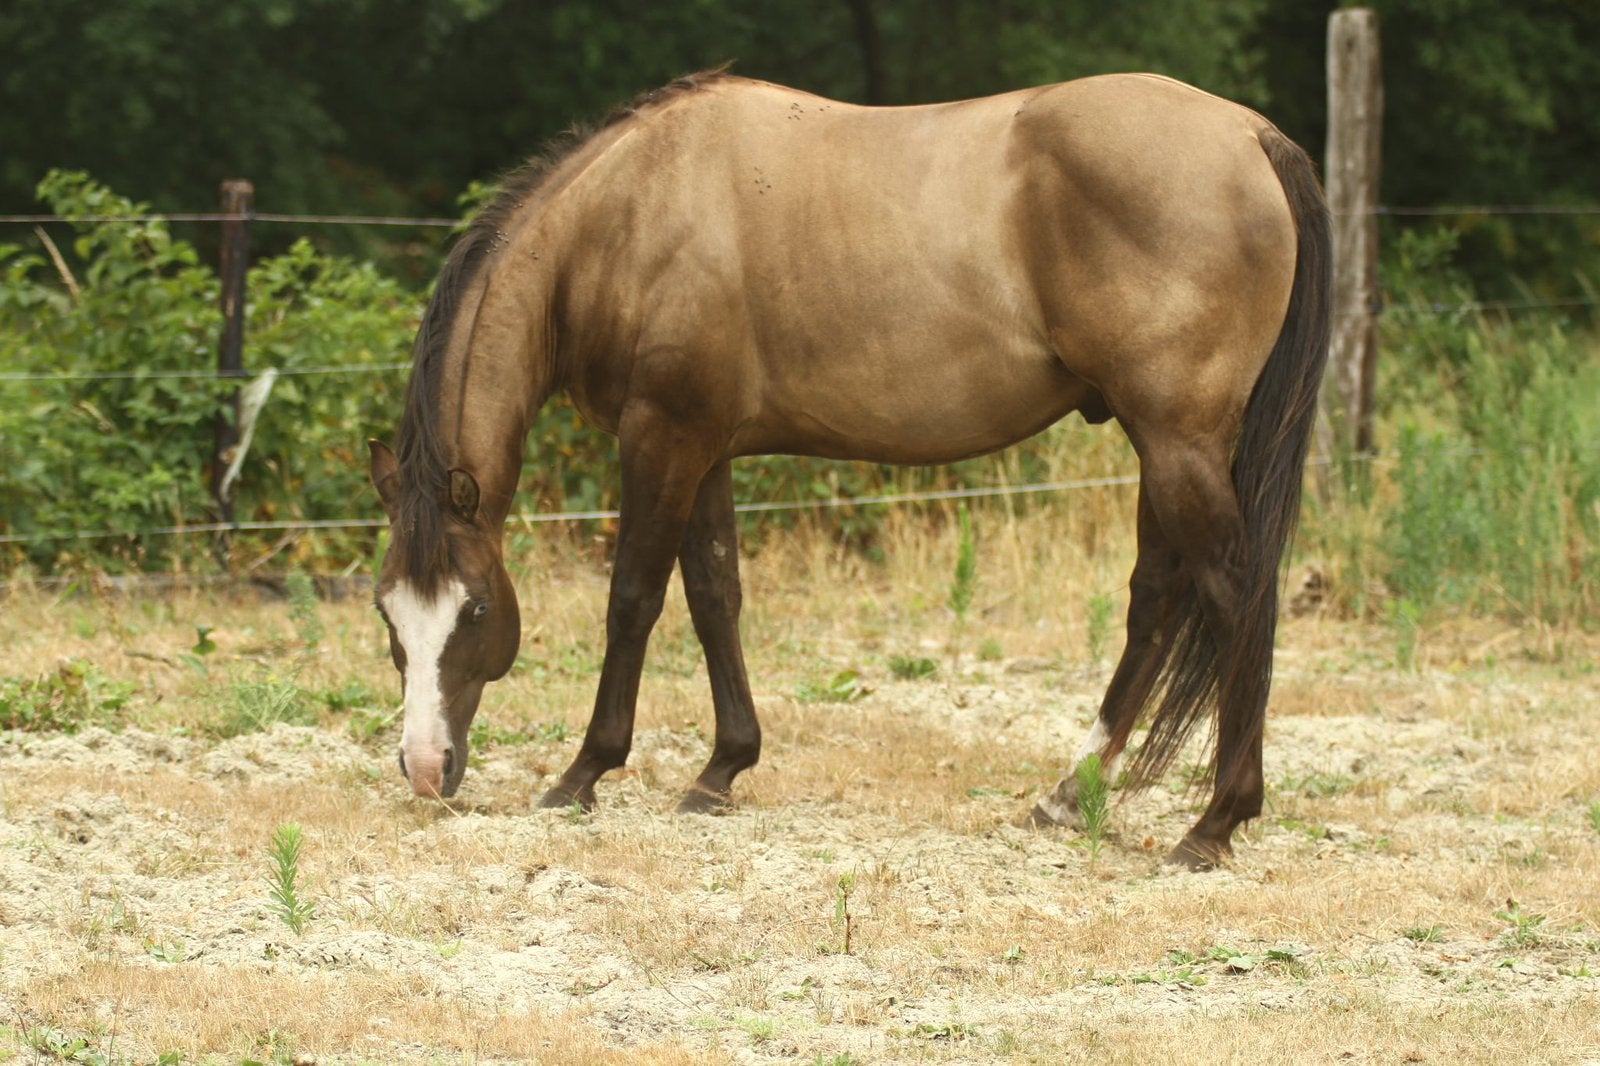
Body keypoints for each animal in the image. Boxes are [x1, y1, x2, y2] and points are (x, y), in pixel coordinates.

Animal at [367, 69, 1330, 870]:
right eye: (387, 615)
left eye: (476, 610)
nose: (425, 768)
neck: (627, 215)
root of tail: (1250, 134)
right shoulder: (705, 448)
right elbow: (715, 593)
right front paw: (721, 770)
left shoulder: (660, 438)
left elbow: (634, 599)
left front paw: (583, 774)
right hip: (1158, 444)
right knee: (1155, 600)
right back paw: (1067, 796)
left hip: (1176, 441)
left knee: (1234, 592)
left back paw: (1213, 824)